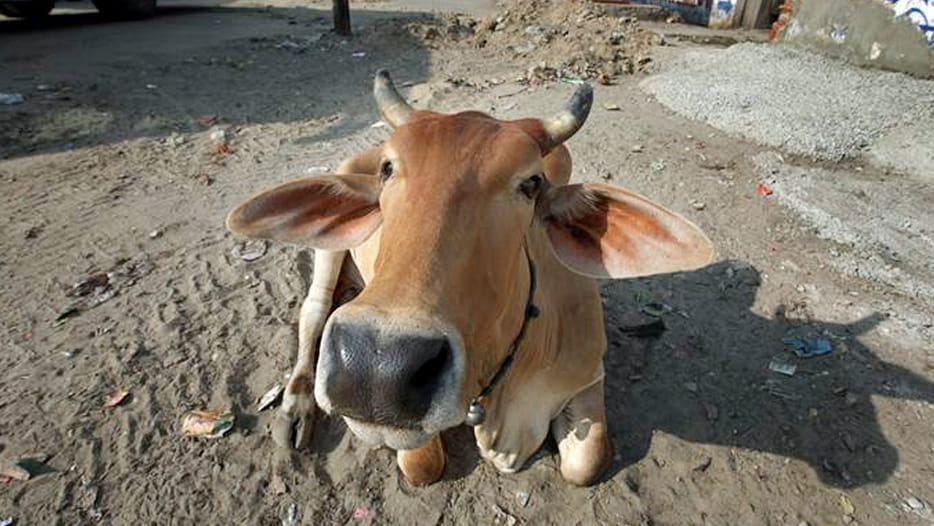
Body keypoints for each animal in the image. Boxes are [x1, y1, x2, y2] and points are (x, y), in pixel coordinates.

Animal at [226, 70, 713, 486]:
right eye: (388, 168)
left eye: (531, 184)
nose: (376, 369)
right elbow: (423, 464)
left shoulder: (589, 375)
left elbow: (587, 464)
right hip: (330, 248)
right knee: (313, 312)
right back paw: (296, 406)